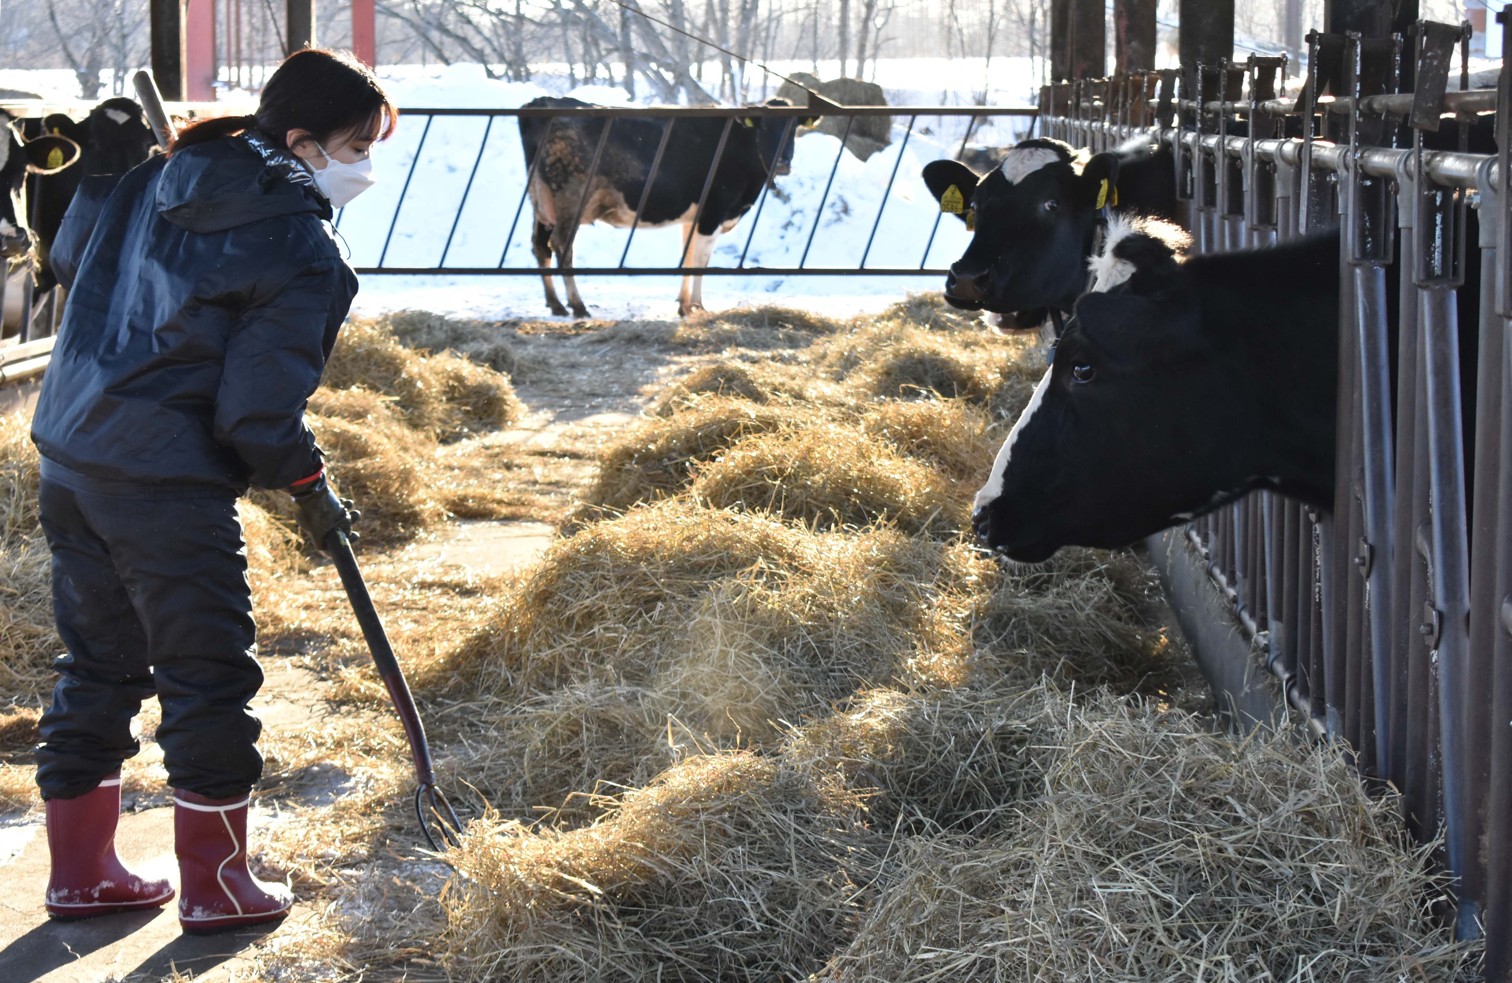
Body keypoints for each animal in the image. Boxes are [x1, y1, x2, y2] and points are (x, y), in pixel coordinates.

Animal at [519, 96, 801, 318]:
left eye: (793, 128)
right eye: (765, 127)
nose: (783, 163)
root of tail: (542, 102)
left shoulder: (694, 216)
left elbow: (688, 257)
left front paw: (684, 305)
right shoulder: (714, 211)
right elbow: (701, 259)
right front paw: (698, 305)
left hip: (542, 202)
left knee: (539, 245)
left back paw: (556, 304)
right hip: (570, 197)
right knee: (561, 246)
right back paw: (577, 305)